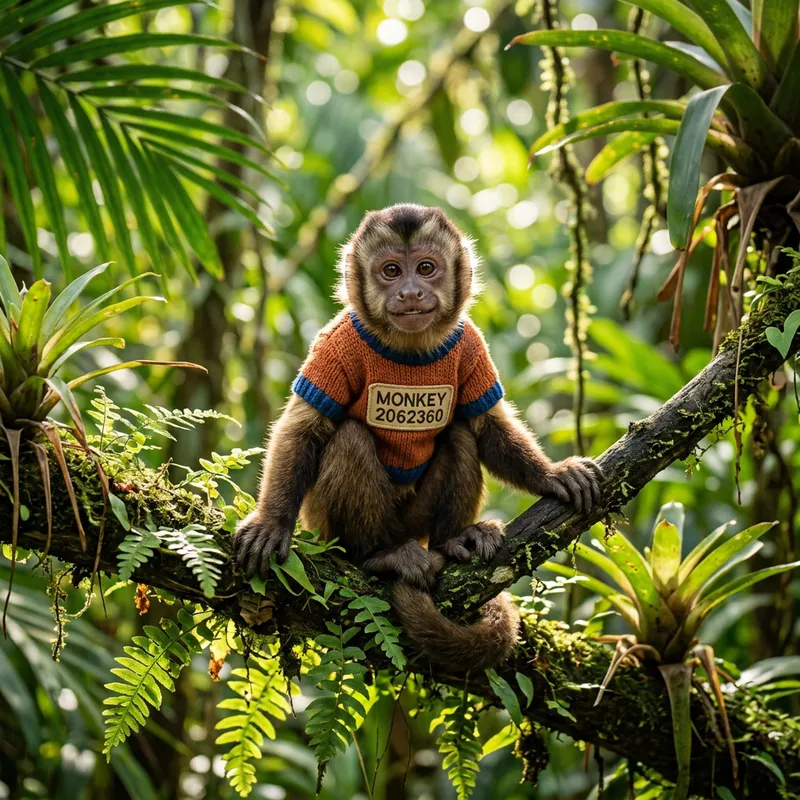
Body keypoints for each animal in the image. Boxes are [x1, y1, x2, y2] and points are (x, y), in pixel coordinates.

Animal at [235, 203, 603, 671]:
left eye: (426, 268)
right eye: (391, 270)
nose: (410, 293)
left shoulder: (470, 342)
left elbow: (486, 426)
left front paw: (553, 475)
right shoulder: (337, 342)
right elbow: (304, 430)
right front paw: (271, 522)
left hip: (416, 521)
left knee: (459, 435)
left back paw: (455, 540)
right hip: (326, 525)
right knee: (351, 439)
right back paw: (378, 556)